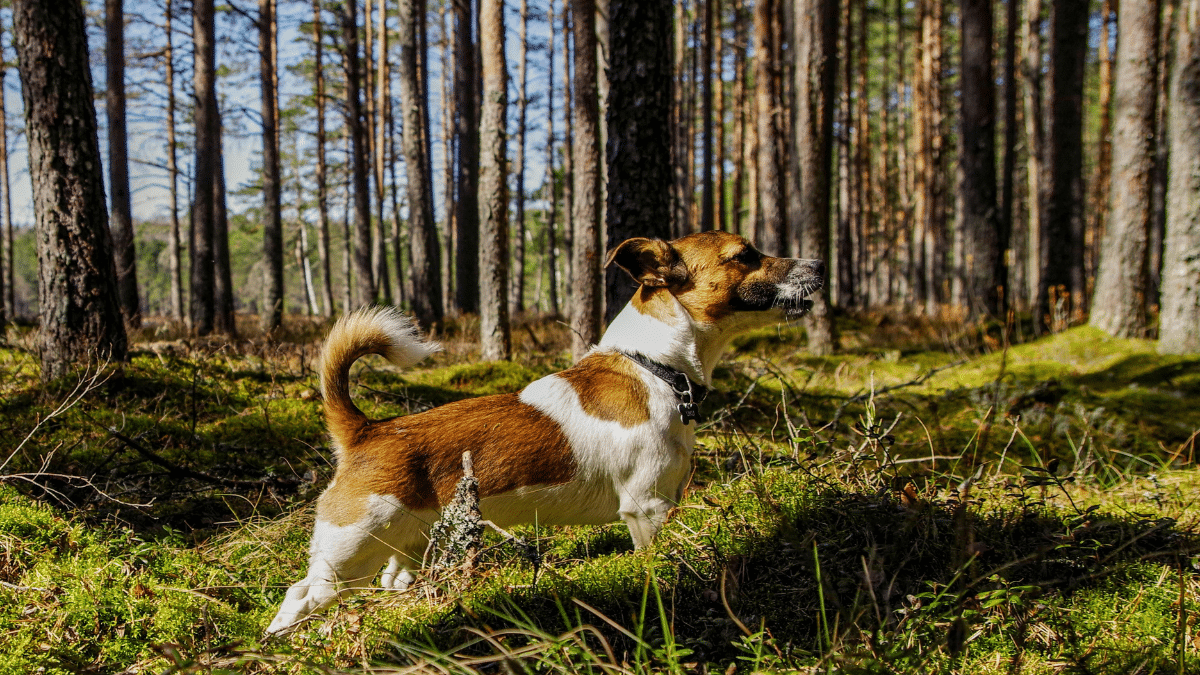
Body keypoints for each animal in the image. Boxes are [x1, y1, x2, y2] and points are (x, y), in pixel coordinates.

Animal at [266, 229, 820, 629]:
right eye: (745, 255)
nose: (818, 265)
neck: (654, 368)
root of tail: (367, 430)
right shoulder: (647, 510)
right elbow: (652, 562)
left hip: (403, 550)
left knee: (390, 581)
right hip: (348, 556)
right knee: (299, 596)